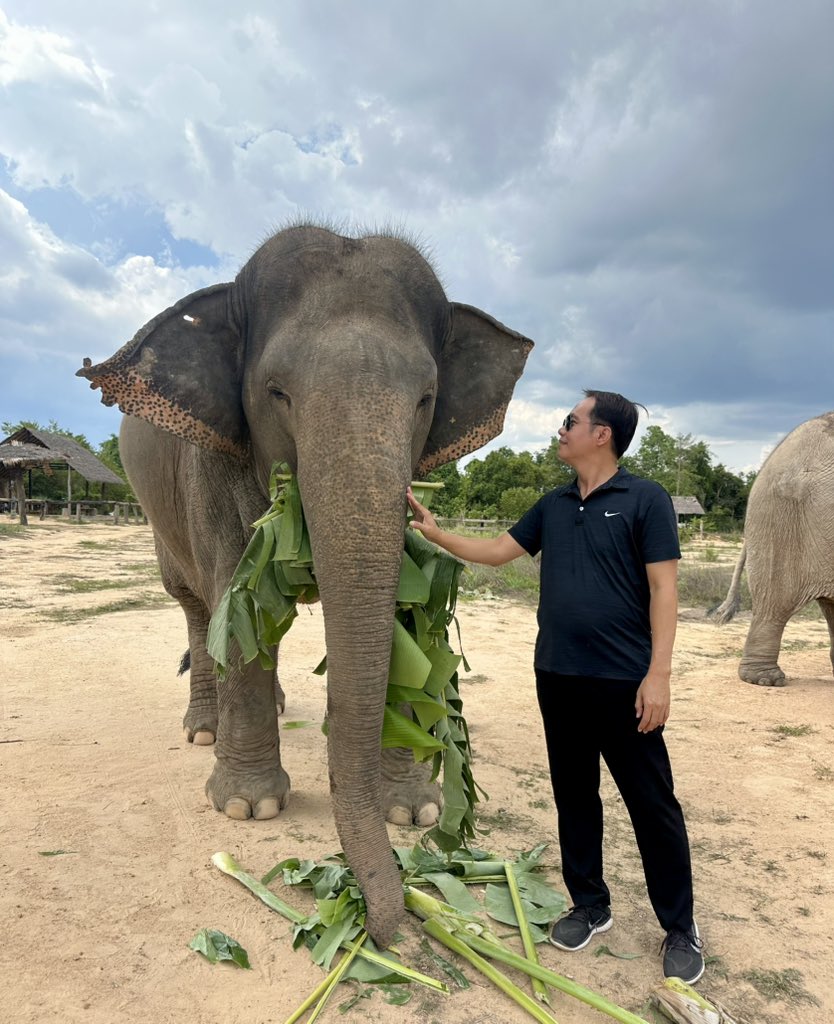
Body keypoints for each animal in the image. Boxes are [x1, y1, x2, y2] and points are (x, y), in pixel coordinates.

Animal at [76, 223, 533, 946]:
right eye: (276, 392)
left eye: (426, 399)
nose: (390, 929)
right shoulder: (211, 463)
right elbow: (236, 602)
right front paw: (248, 807)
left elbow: (403, 616)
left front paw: (415, 813)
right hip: (158, 520)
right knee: (198, 606)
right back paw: (203, 731)